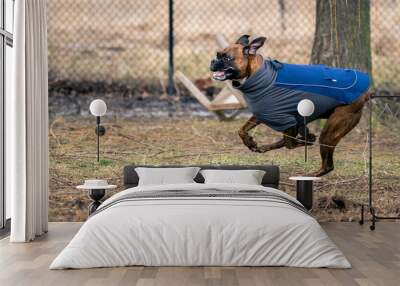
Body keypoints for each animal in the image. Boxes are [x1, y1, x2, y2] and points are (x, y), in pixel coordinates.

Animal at [211, 34, 370, 175]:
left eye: (226, 58)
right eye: (218, 55)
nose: (212, 61)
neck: (260, 75)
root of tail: (365, 93)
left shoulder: (285, 121)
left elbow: (291, 143)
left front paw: (307, 140)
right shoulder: (263, 114)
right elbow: (241, 130)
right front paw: (250, 143)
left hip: (330, 132)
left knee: (326, 164)